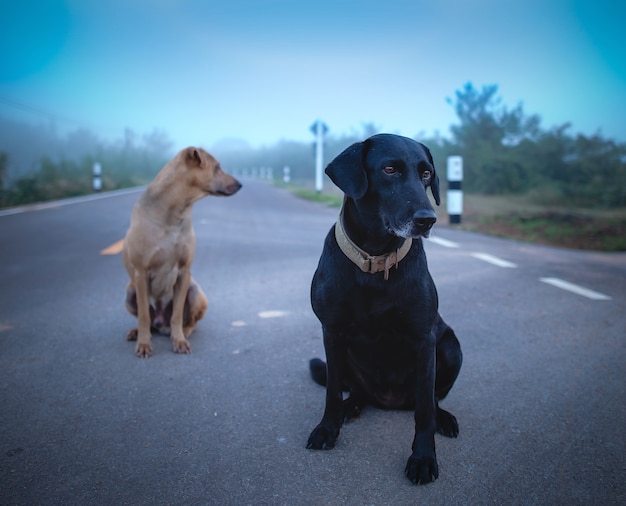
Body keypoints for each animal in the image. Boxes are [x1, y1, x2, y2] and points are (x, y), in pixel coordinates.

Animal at [122, 146, 241, 358]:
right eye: (217, 167)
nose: (240, 184)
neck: (175, 210)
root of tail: (160, 322)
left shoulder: (184, 272)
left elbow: (177, 315)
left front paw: (179, 341)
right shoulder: (141, 272)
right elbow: (143, 315)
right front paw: (143, 344)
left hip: (195, 293)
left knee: (189, 321)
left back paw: (184, 331)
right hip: (130, 293)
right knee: (147, 320)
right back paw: (137, 332)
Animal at [304, 134, 460, 486]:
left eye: (427, 173)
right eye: (389, 169)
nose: (427, 219)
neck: (376, 260)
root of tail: (390, 401)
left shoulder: (425, 340)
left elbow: (425, 410)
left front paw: (423, 458)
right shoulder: (332, 332)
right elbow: (331, 391)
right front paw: (327, 428)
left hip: (450, 346)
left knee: (433, 398)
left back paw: (444, 418)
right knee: (355, 390)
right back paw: (351, 407)